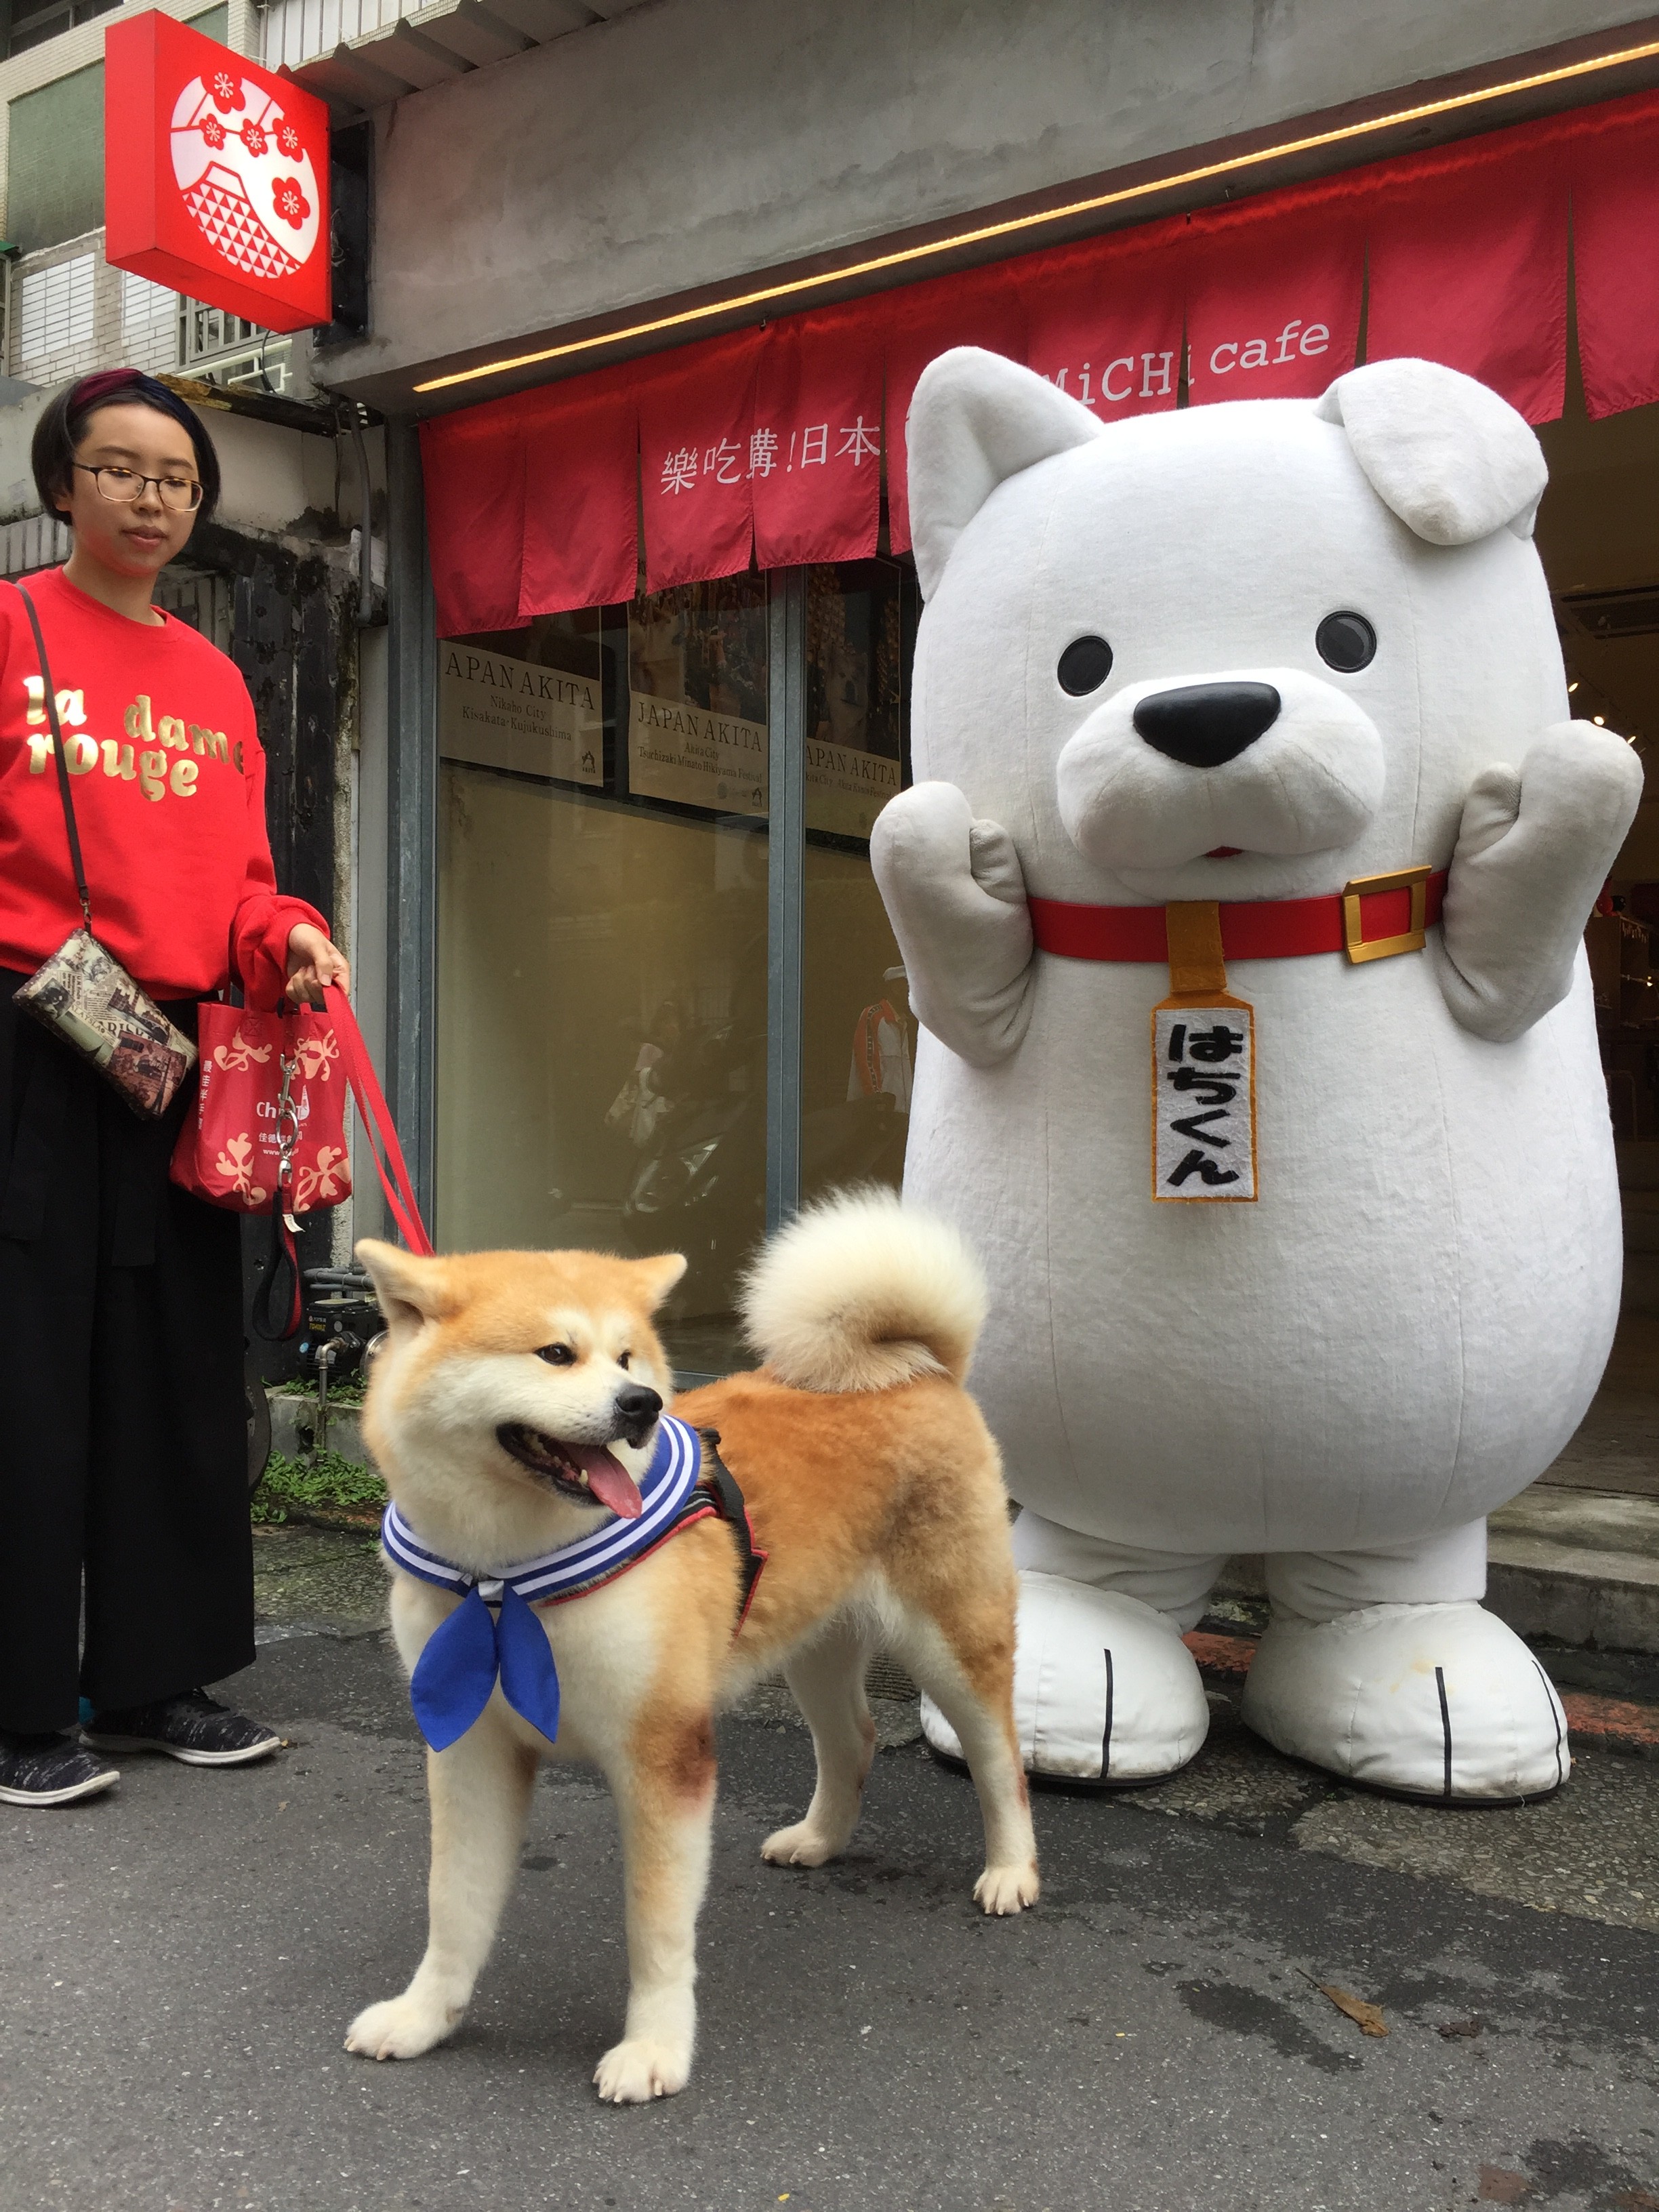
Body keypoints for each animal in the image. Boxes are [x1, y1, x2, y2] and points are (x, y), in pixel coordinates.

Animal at [340, 1194, 1040, 2106]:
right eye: (556, 1353)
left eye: (628, 1356)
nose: (639, 1404)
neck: (505, 1579)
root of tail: (921, 1368)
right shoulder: (471, 1748)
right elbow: (453, 1904)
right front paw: (424, 2018)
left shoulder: (662, 1753)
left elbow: (656, 1926)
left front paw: (654, 2049)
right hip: (812, 1642)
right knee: (854, 1739)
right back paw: (820, 1838)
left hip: (951, 1636)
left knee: (1000, 1760)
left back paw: (1012, 1871)